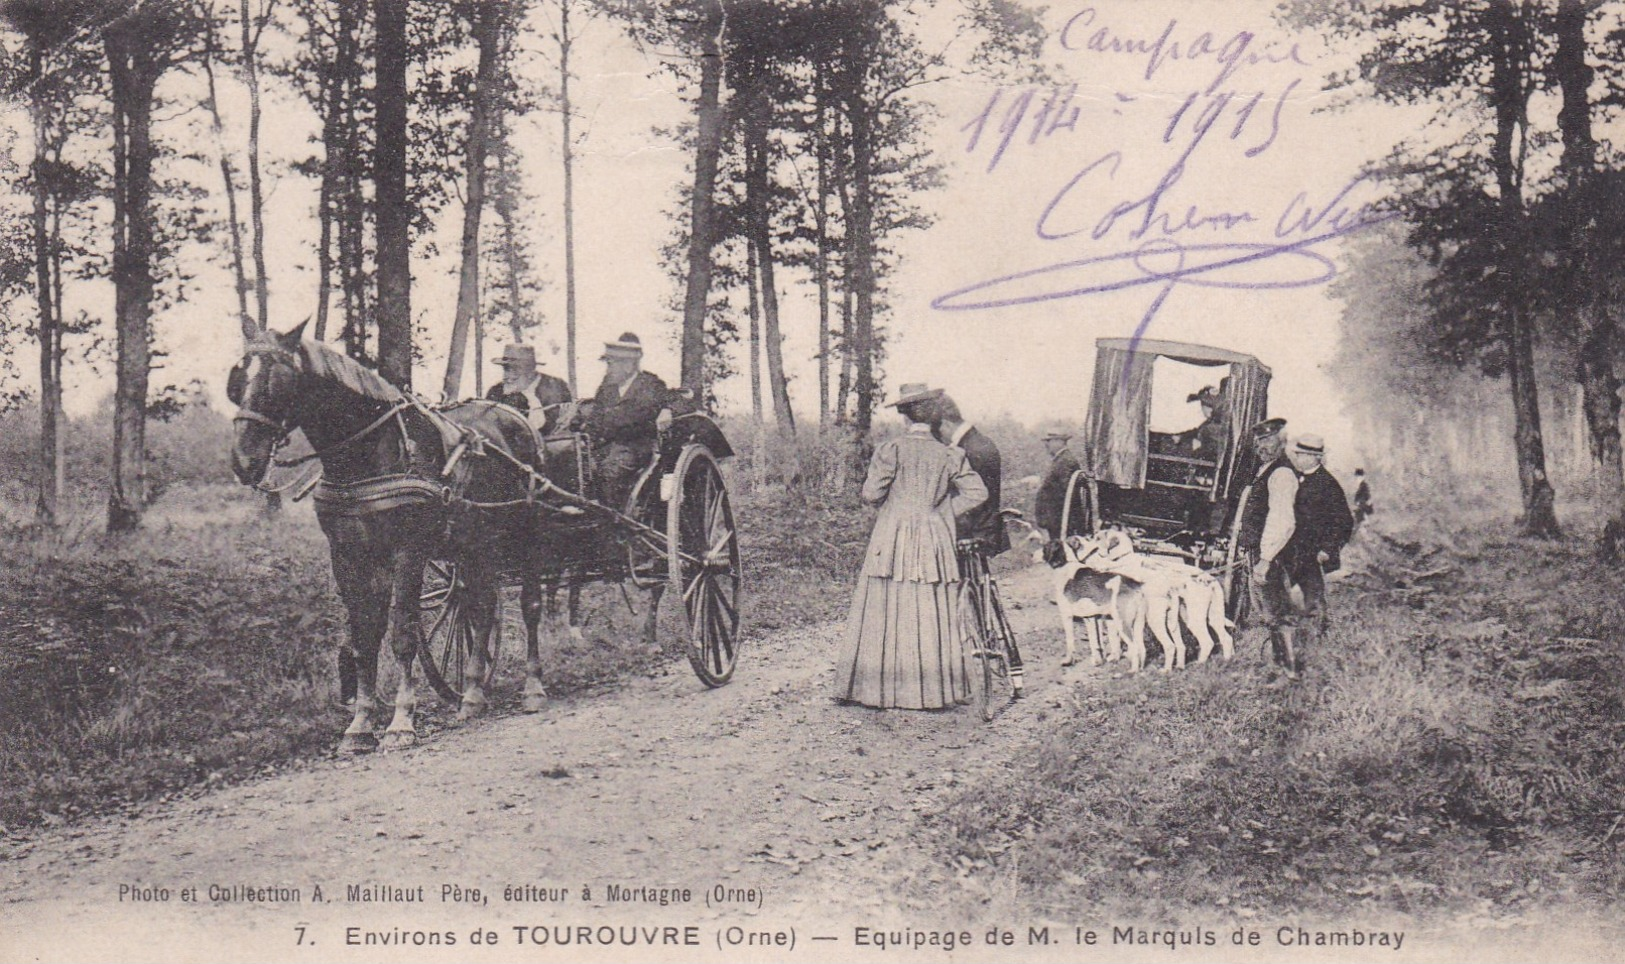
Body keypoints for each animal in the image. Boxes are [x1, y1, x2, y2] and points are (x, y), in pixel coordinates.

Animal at [225, 320, 562, 747]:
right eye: (236, 381)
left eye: (278, 383)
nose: (243, 461)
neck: (367, 454)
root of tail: (514, 415)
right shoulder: (347, 555)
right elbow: (364, 638)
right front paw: (360, 724)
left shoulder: (408, 550)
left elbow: (402, 633)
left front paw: (401, 721)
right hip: (474, 543)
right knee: (480, 607)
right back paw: (471, 694)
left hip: (527, 529)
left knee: (530, 604)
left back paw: (533, 688)